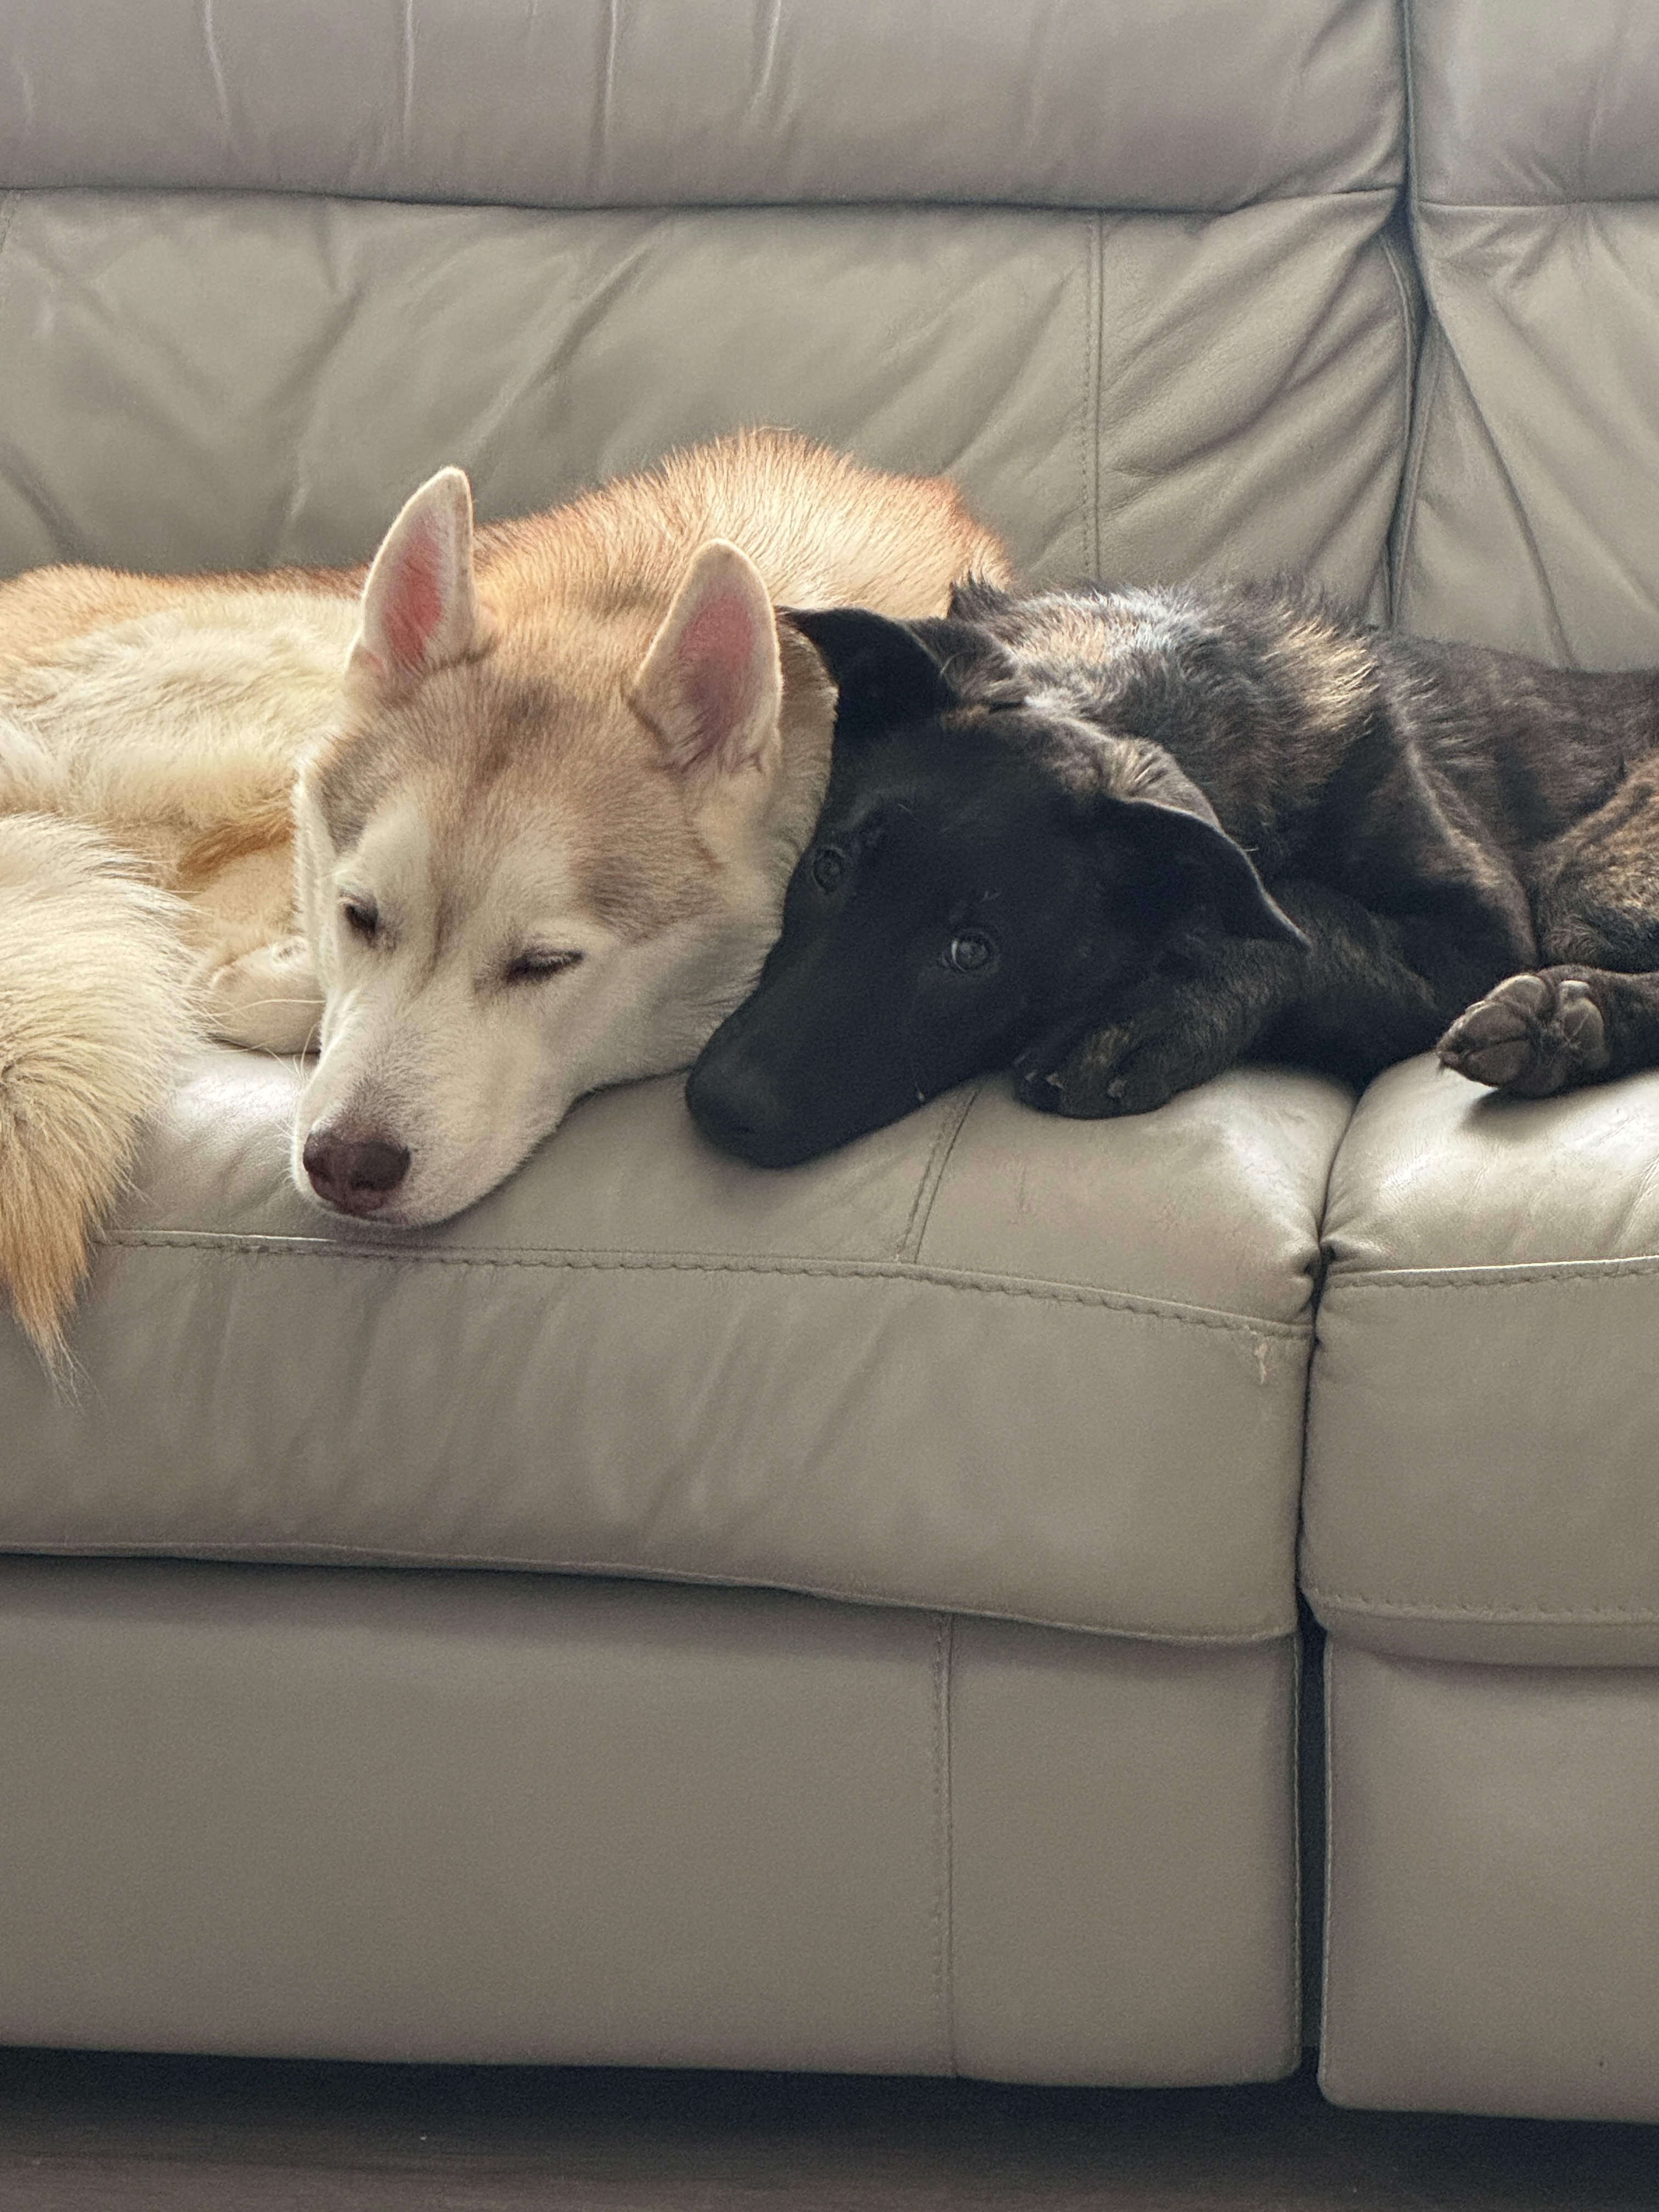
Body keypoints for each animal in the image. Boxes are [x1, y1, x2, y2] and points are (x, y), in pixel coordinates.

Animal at [686, 576, 1659, 1166]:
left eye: (972, 953)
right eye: (829, 866)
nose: (720, 1107)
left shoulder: (1482, 933)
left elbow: (1307, 918)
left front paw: (1147, 1013)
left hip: (1584, 884)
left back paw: (1562, 1018)